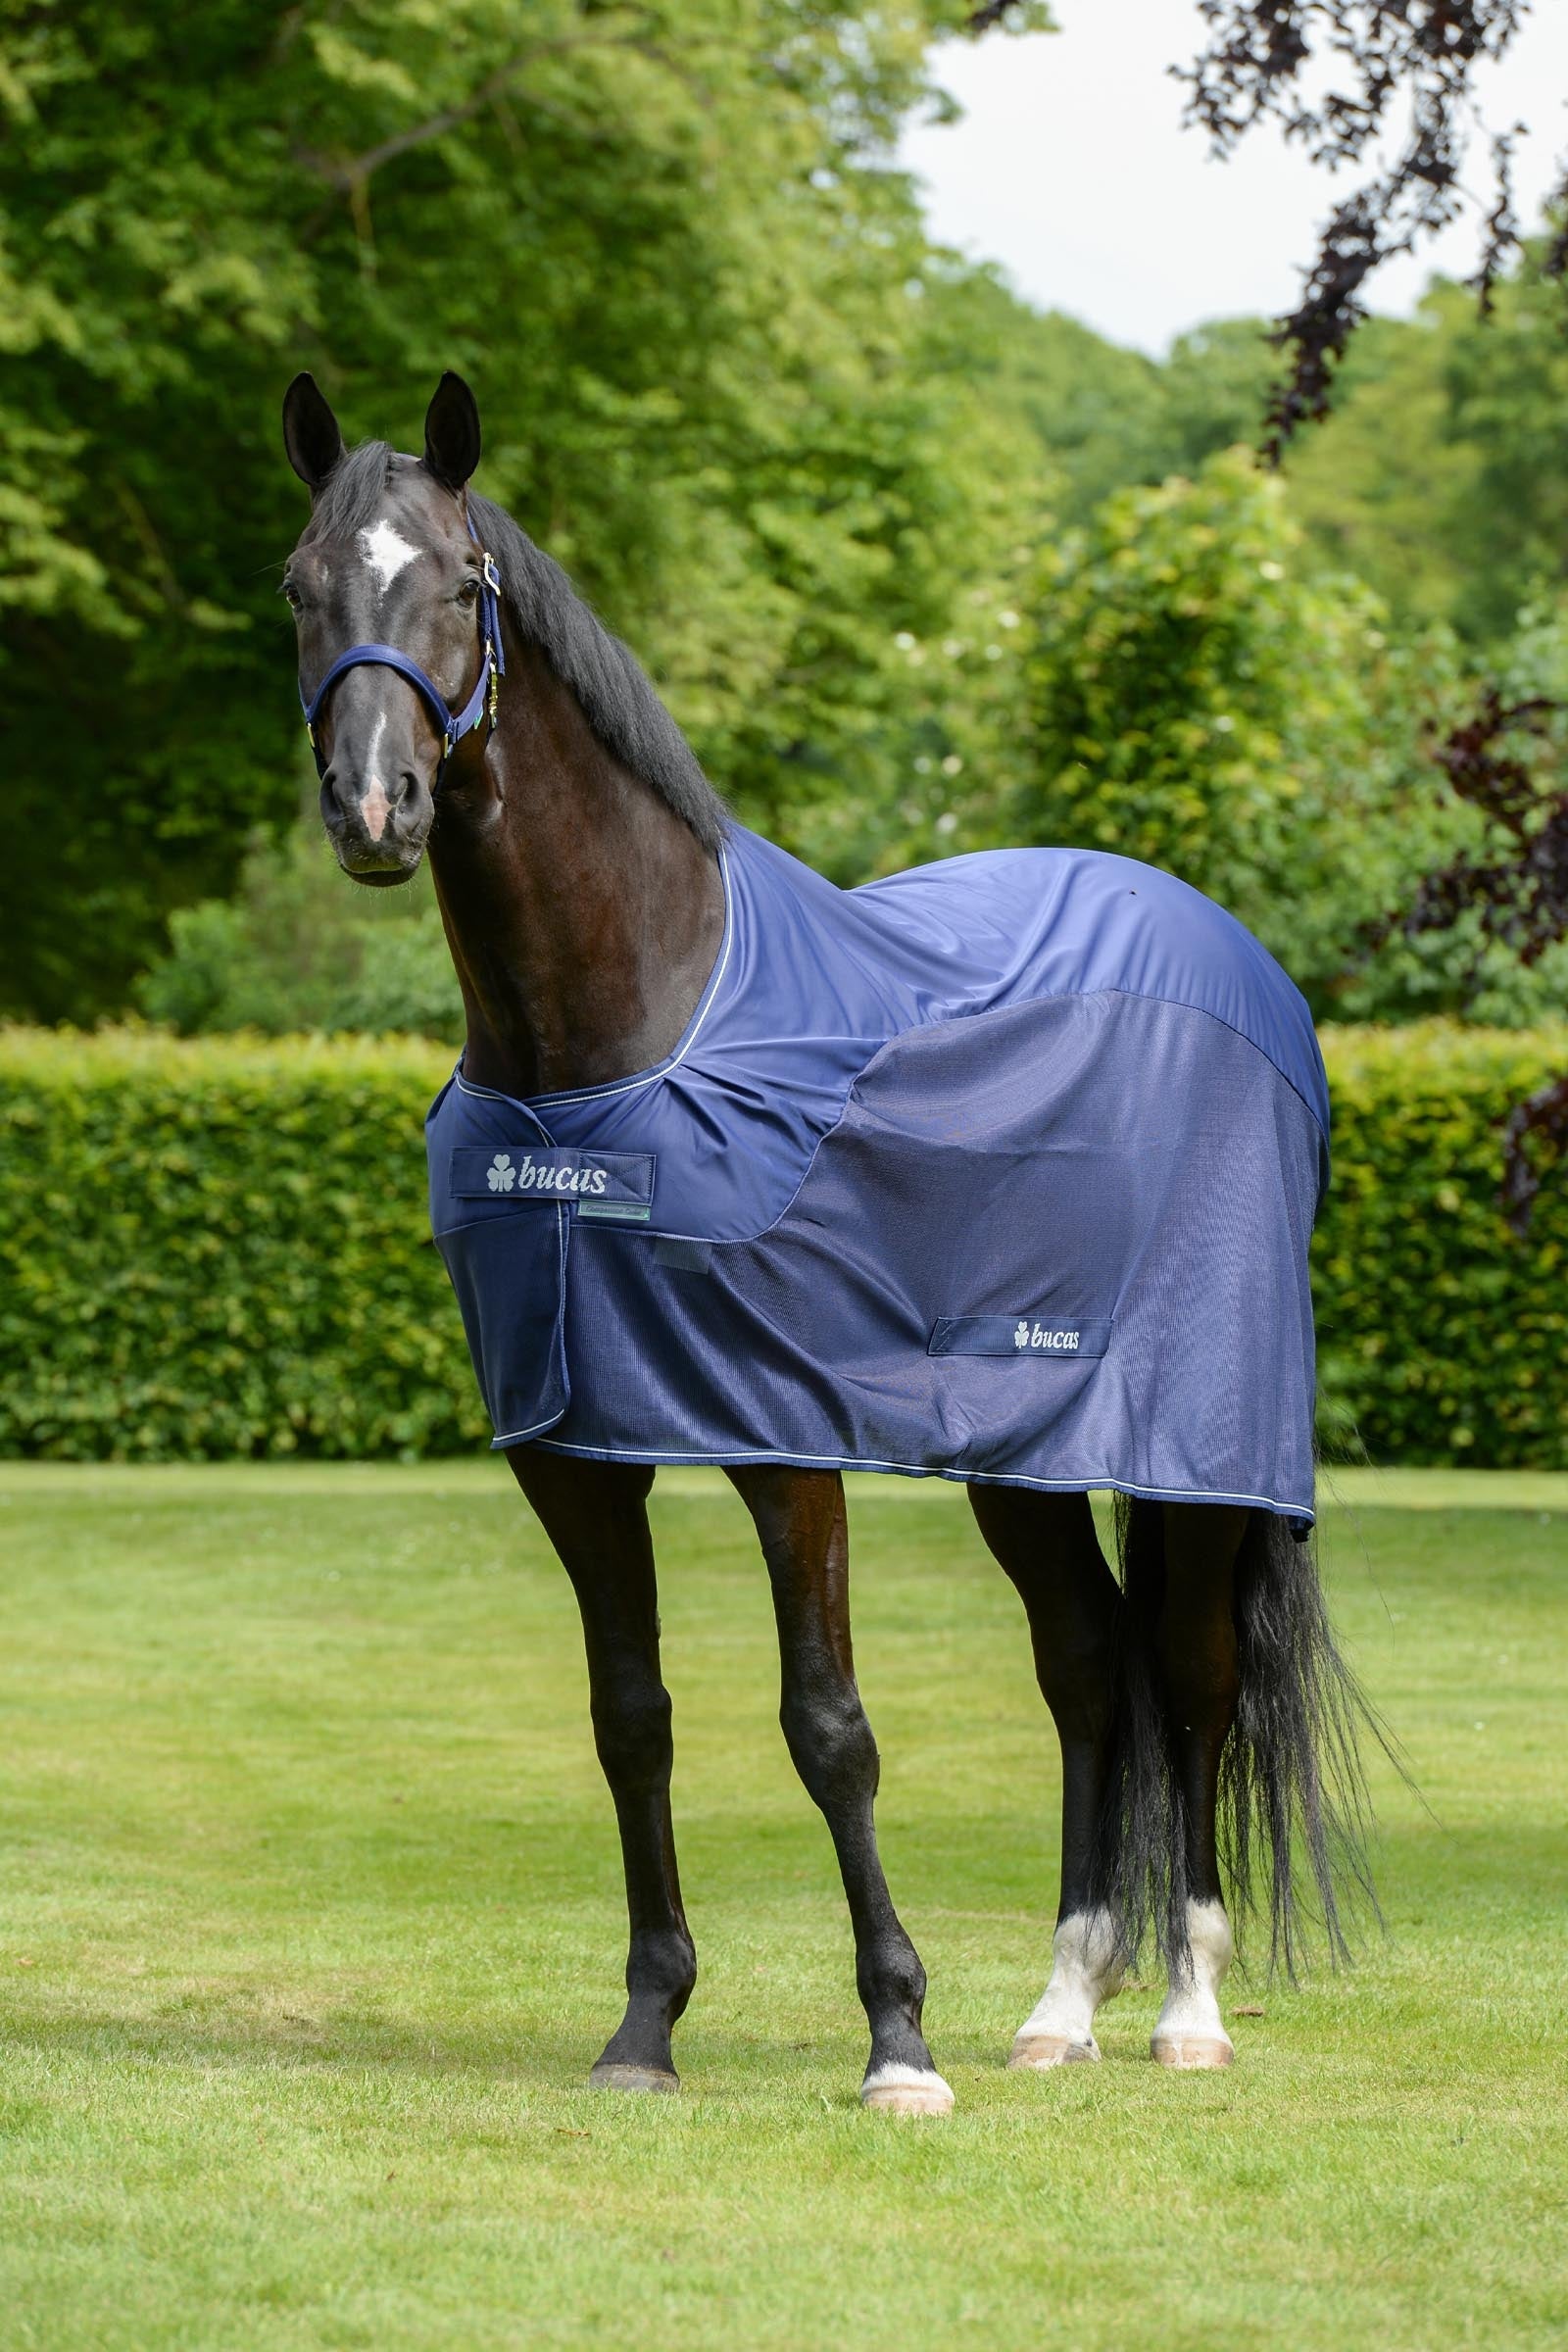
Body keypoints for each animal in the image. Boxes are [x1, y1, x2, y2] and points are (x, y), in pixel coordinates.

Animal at [278, 369, 1375, 2116]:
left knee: (1194, 1676)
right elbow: (633, 1719)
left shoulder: (784, 1444)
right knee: (1090, 1669)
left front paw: (898, 2041)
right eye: (303, 586)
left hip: (1205, 1444)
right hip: (1024, 1453)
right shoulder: (575, 1452)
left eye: (460, 583)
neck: (620, 1039)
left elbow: (827, 1727)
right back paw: (1061, 2004)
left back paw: (1186, 2009)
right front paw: (647, 2027)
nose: (375, 809)